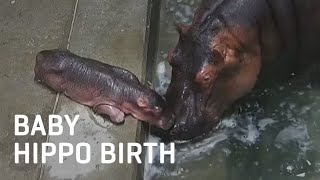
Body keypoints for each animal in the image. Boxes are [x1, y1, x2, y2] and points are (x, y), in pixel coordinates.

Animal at [34, 49, 174, 129]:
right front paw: (120, 115)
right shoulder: (103, 101)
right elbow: (116, 114)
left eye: (164, 100)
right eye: (156, 110)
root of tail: (40, 54)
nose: (172, 120)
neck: (132, 91)